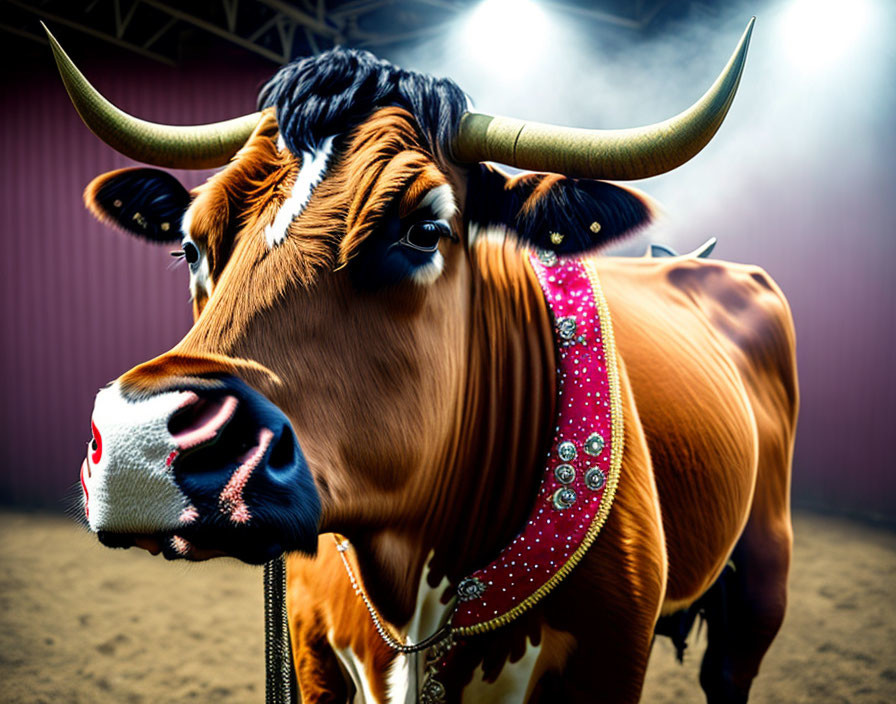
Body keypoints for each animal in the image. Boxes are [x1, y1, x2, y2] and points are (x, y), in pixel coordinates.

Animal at [47, 15, 800, 700]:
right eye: (190, 245)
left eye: (424, 230)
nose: (139, 445)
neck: (412, 566)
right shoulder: (310, 648)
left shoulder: (611, 656)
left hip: (764, 570)